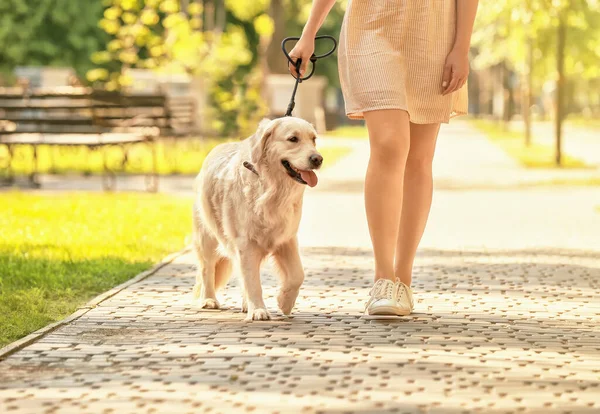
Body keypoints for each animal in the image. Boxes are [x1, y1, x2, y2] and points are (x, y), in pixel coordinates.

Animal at [192, 115, 324, 320]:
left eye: (314, 139)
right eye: (293, 139)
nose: (317, 159)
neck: (271, 189)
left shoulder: (286, 239)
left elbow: (297, 274)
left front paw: (285, 301)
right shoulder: (246, 243)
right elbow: (252, 281)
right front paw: (258, 310)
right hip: (208, 236)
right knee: (208, 268)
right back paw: (209, 300)